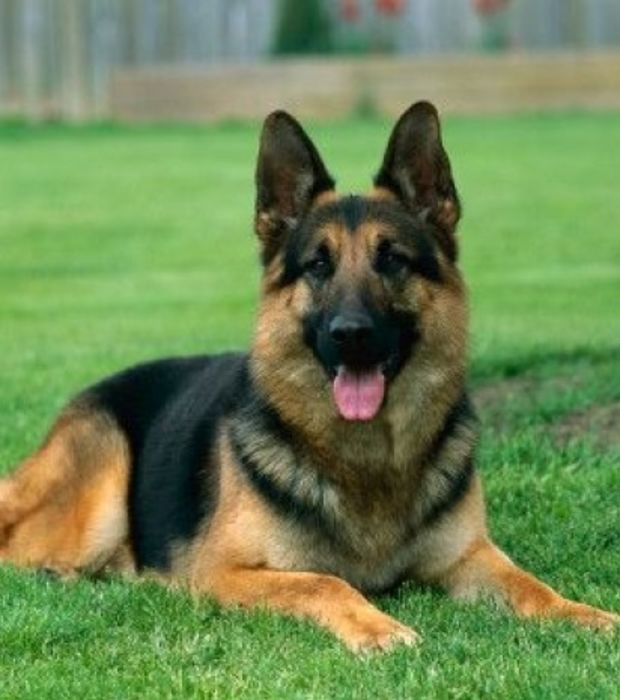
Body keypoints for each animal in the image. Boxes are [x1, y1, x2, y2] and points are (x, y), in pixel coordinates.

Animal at [0, 102, 616, 652]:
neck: (368, 462)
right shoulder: (223, 572)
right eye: (318, 265)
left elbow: (532, 586)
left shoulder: (471, 558)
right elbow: (326, 581)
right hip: (98, 490)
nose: (350, 333)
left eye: (392, 260)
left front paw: (582, 613)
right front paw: (378, 628)